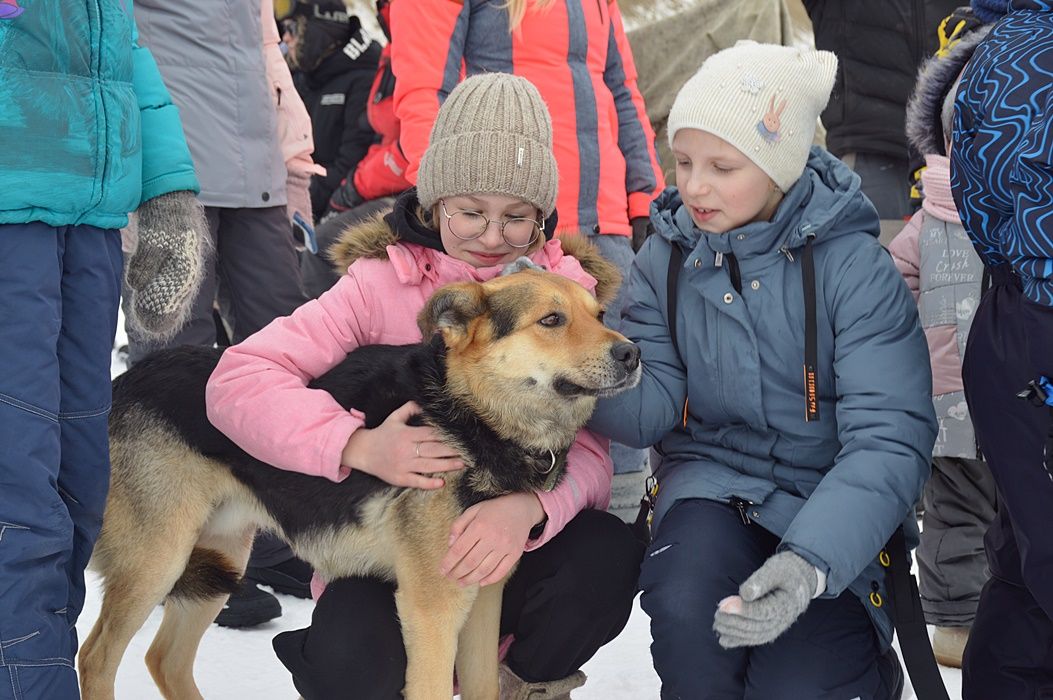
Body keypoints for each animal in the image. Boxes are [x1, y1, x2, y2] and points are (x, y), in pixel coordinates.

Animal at [77, 268, 640, 698]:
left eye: (599, 315)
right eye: (551, 320)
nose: (633, 353)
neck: (471, 415)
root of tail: (124, 381)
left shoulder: (483, 599)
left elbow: (483, 685)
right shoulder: (431, 610)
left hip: (221, 560)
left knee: (164, 659)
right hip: (159, 557)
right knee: (96, 657)